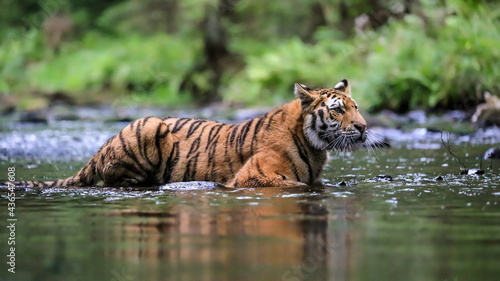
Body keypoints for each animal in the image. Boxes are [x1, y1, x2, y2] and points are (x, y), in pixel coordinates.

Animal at [2, 79, 368, 187]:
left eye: (357, 107)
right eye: (338, 110)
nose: (365, 127)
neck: (315, 146)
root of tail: (101, 146)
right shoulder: (255, 176)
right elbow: (294, 185)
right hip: (148, 126)